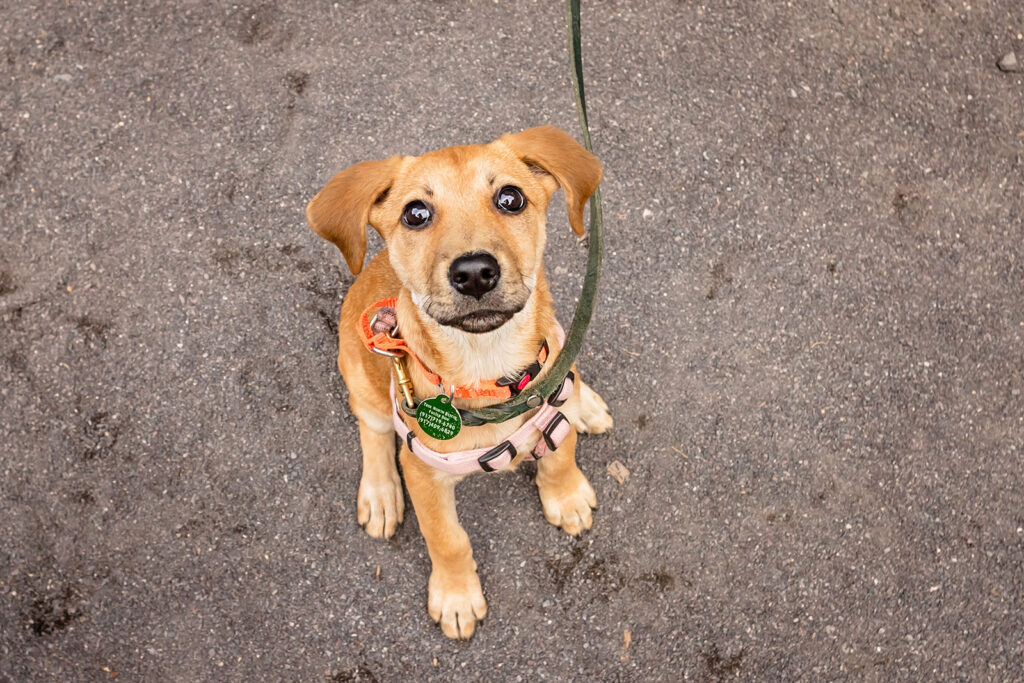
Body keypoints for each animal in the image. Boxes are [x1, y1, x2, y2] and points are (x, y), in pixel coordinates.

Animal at [307, 125, 610, 638]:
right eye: (416, 213)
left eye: (510, 198)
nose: (474, 273)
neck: (489, 373)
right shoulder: (423, 475)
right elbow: (447, 538)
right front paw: (456, 596)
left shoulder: (552, 415)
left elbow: (559, 458)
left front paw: (566, 496)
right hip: (361, 380)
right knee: (372, 430)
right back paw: (381, 493)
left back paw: (586, 402)